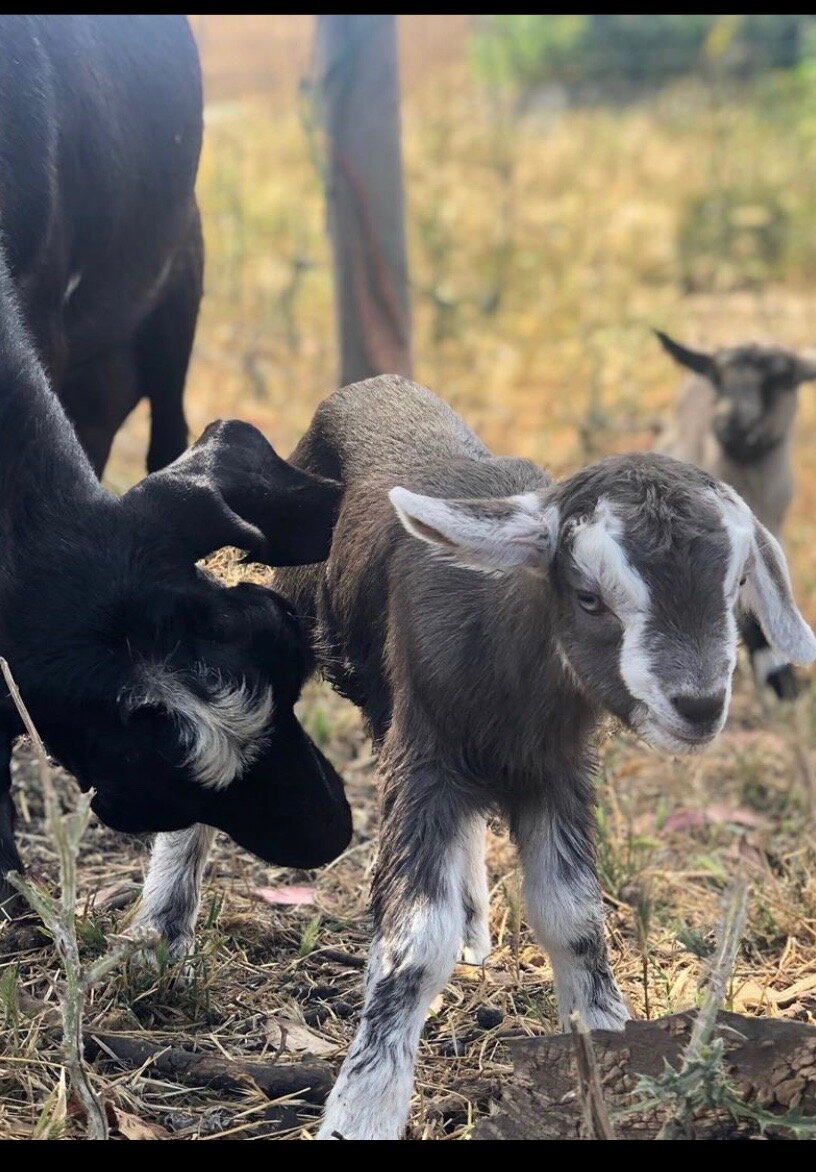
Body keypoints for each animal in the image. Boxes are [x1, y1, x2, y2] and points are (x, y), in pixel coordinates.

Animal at [274, 375, 816, 1140]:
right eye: (589, 598)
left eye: (734, 586)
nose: (699, 705)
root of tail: (371, 385)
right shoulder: (428, 757)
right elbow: (417, 941)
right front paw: (363, 1109)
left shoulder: (556, 770)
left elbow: (574, 917)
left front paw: (612, 1050)